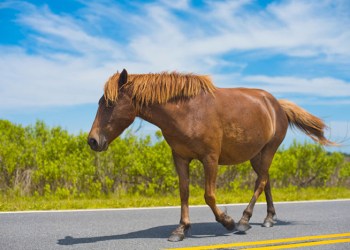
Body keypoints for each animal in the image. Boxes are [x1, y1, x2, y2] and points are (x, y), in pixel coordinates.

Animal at [87, 69, 334, 241]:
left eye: (109, 103)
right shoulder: (180, 158)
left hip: (268, 150)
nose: (93, 140)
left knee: (261, 181)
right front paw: (181, 229)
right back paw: (268, 219)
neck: (187, 112)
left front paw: (227, 221)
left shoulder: (210, 159)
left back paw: (244, 220)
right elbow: (184, 193)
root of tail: (278, 106)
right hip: (257, 155)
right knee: (266, 181)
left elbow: (209, 195)